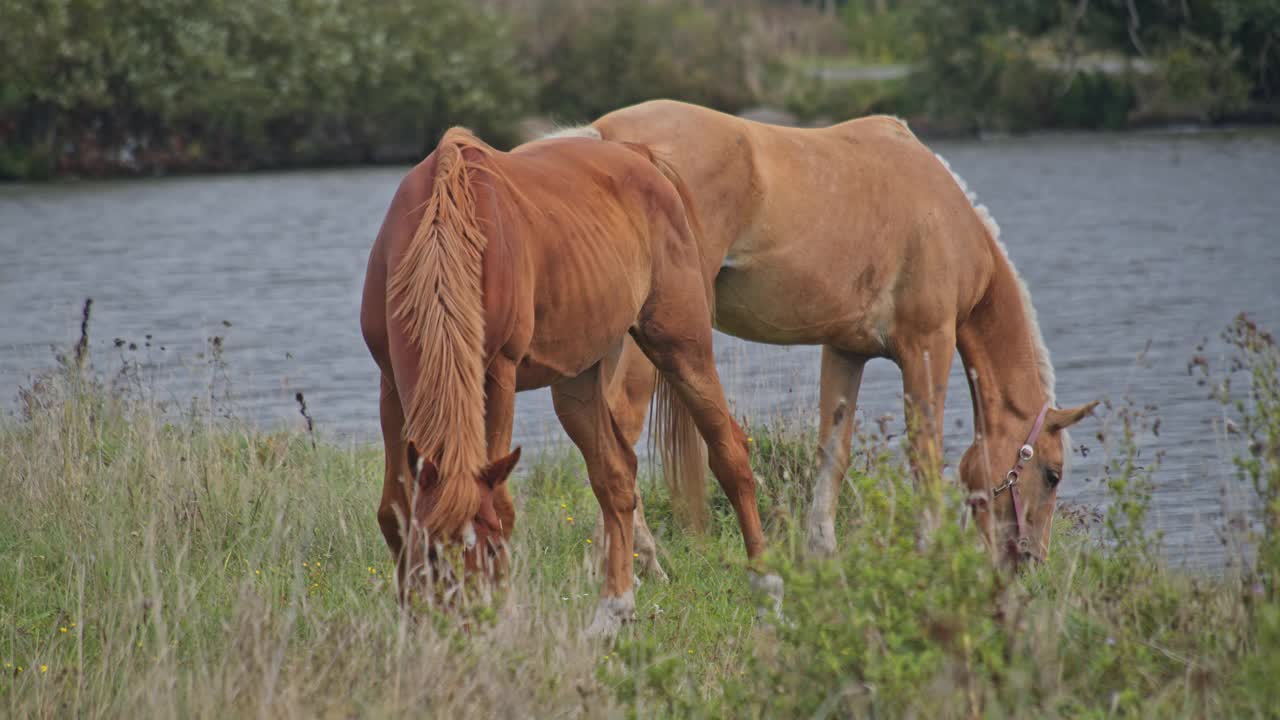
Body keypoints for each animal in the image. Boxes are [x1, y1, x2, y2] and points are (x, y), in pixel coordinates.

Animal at [363, 126, 778, 630]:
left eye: (493, 547)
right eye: (430, 549)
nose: (469, 622)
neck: (444, 233)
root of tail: (641, 157)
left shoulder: (497, 376)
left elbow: (502, 502)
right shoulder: (390, 385)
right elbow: (393, 509)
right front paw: (409, 617)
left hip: (682, 348)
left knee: (730, 454)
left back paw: (765, 588)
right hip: (577, 383)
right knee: (616, 477)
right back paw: (616, 606)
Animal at [583, 98, 1100, 566]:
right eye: (1052, 474)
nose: (1031, 560)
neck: (946, 219)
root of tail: (603, 139)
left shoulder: (845, 350)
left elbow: (833, 451)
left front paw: (822, 552)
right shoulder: (928, 346)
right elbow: (924, 454)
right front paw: (929, 552)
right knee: (620, 422)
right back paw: (643, 559)